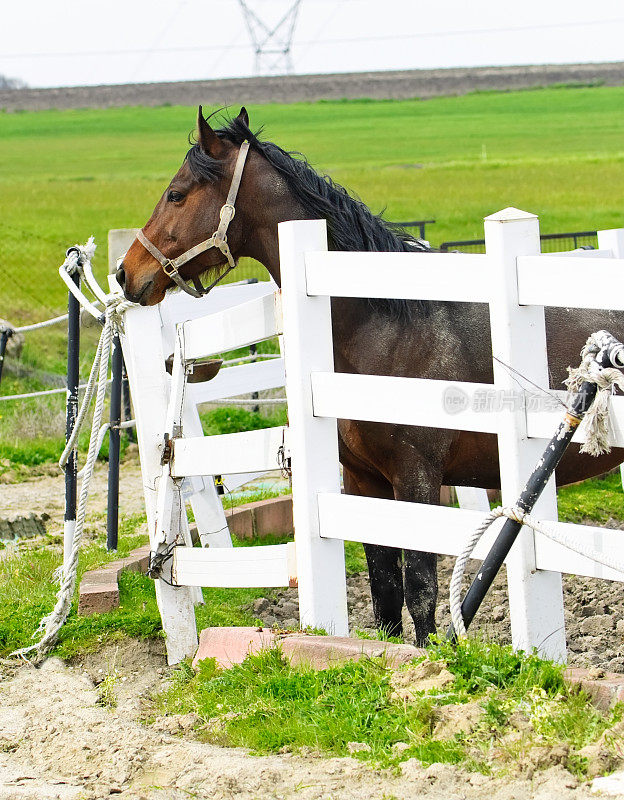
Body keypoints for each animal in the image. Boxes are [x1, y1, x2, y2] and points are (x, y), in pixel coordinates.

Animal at [118, 106, 624, 644]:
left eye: (176, 193)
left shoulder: (416, 479)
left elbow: (419, 591)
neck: (388, 324)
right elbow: (384, 593)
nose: (126, 273)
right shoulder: (365, 483)